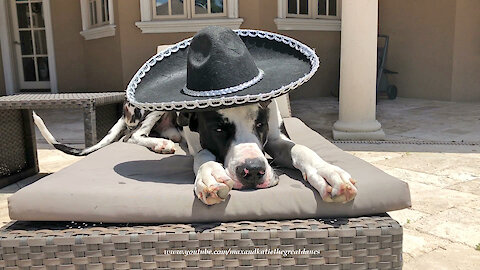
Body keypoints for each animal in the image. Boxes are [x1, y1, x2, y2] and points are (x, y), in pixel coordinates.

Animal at [33, 99, 356, 205]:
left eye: (260, 123)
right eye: (218, 129)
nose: (252, 171)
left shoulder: (276, 138)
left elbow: (301, 148)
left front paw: (328, 174)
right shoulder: (201, 143)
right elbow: (202, 156)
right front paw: (210, 175)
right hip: (147, 110)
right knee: (131, 136)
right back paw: (159, 144)